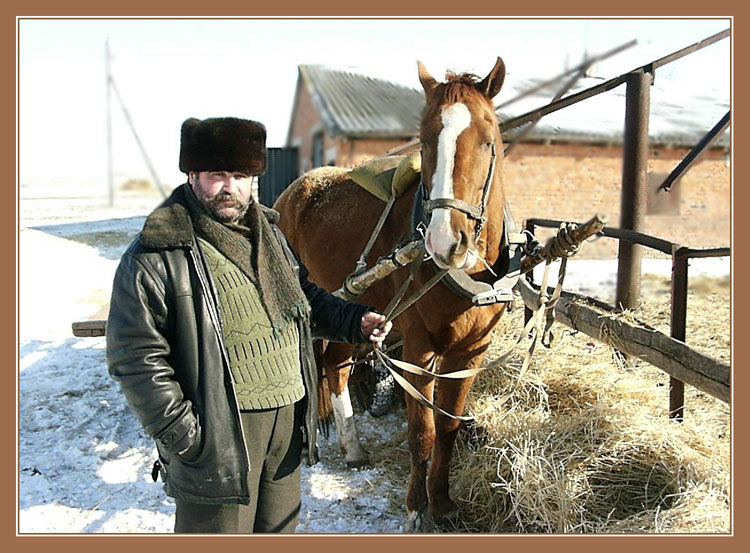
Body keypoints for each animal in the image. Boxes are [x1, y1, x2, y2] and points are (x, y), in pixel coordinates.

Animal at [274, 57, 512, 532]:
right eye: (424, 140)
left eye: (488, 137)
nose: (445, 241)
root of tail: (293, 190)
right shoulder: (418, 349)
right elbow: (422, 432)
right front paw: (417, 508)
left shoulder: (470, 353)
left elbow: (448, 429)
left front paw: (444, 504)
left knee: (335, 365)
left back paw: (352, 448)